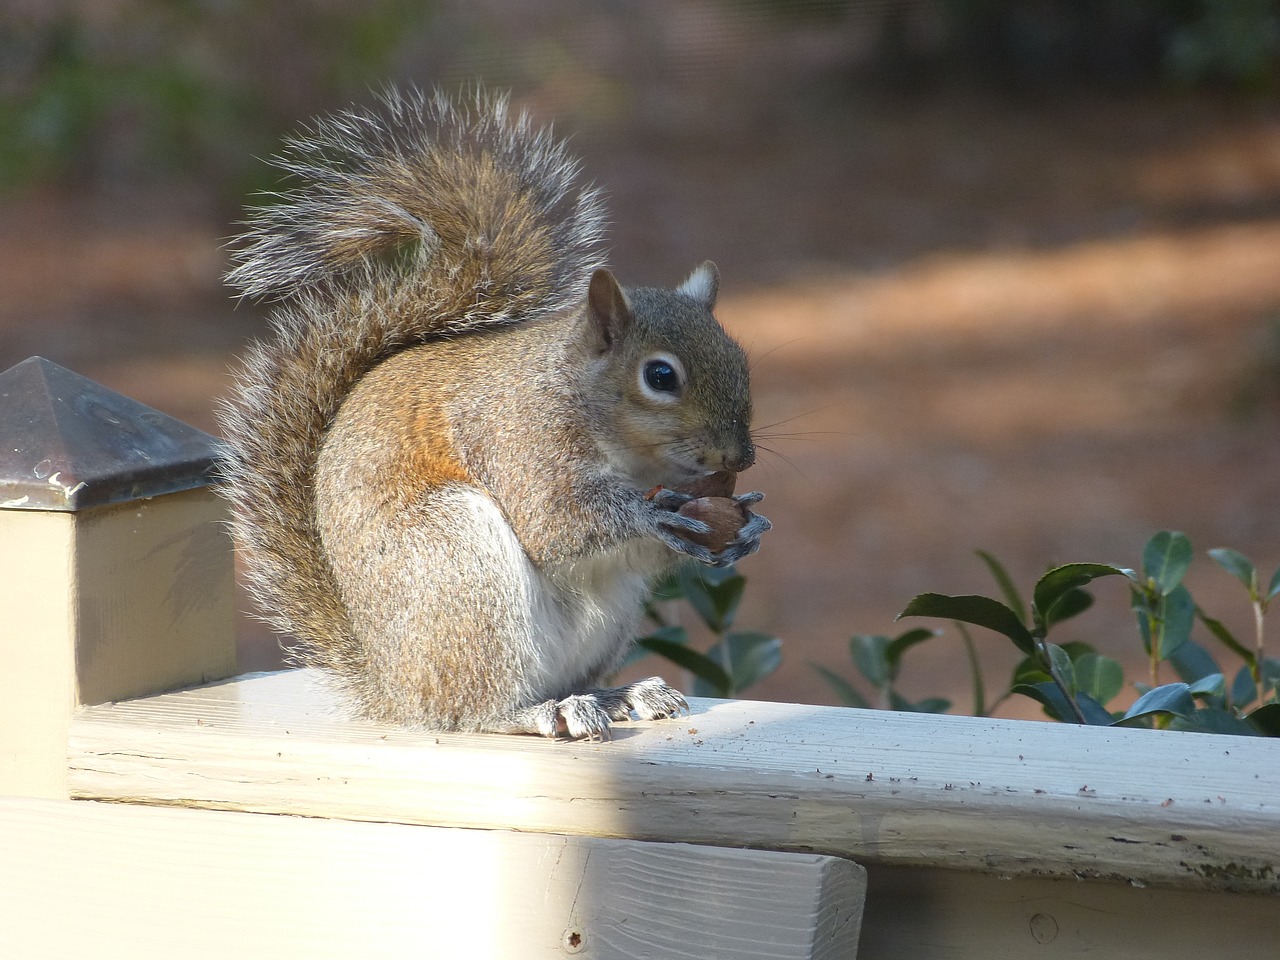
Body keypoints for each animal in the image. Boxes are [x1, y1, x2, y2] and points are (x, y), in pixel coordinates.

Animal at [217, 90, 768, 742]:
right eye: (660, 377)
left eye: (740, 360)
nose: (740, 458)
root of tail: (392, 686)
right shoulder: (519, 436)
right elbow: (553, 522)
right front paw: (652, 515)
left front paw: (744, 527)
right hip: (458, 564)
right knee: (473, 710)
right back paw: (537, 711)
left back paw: (618, 695)